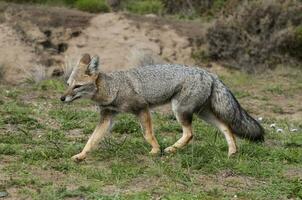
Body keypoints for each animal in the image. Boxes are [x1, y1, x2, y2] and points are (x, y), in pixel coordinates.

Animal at [60, 54, 264, 162]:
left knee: (190, 134)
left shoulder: (142, 109)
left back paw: (171, 149)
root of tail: (209, 73)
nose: (62, 98)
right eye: (68, 84)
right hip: (202, 113)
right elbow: (92, 139)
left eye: (77, 86)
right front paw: (81, 155)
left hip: (180, 110)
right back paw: (232, 152)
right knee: (226, 127)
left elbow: (147, 134)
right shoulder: (108, 116)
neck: (114, 88)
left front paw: (155, 151)